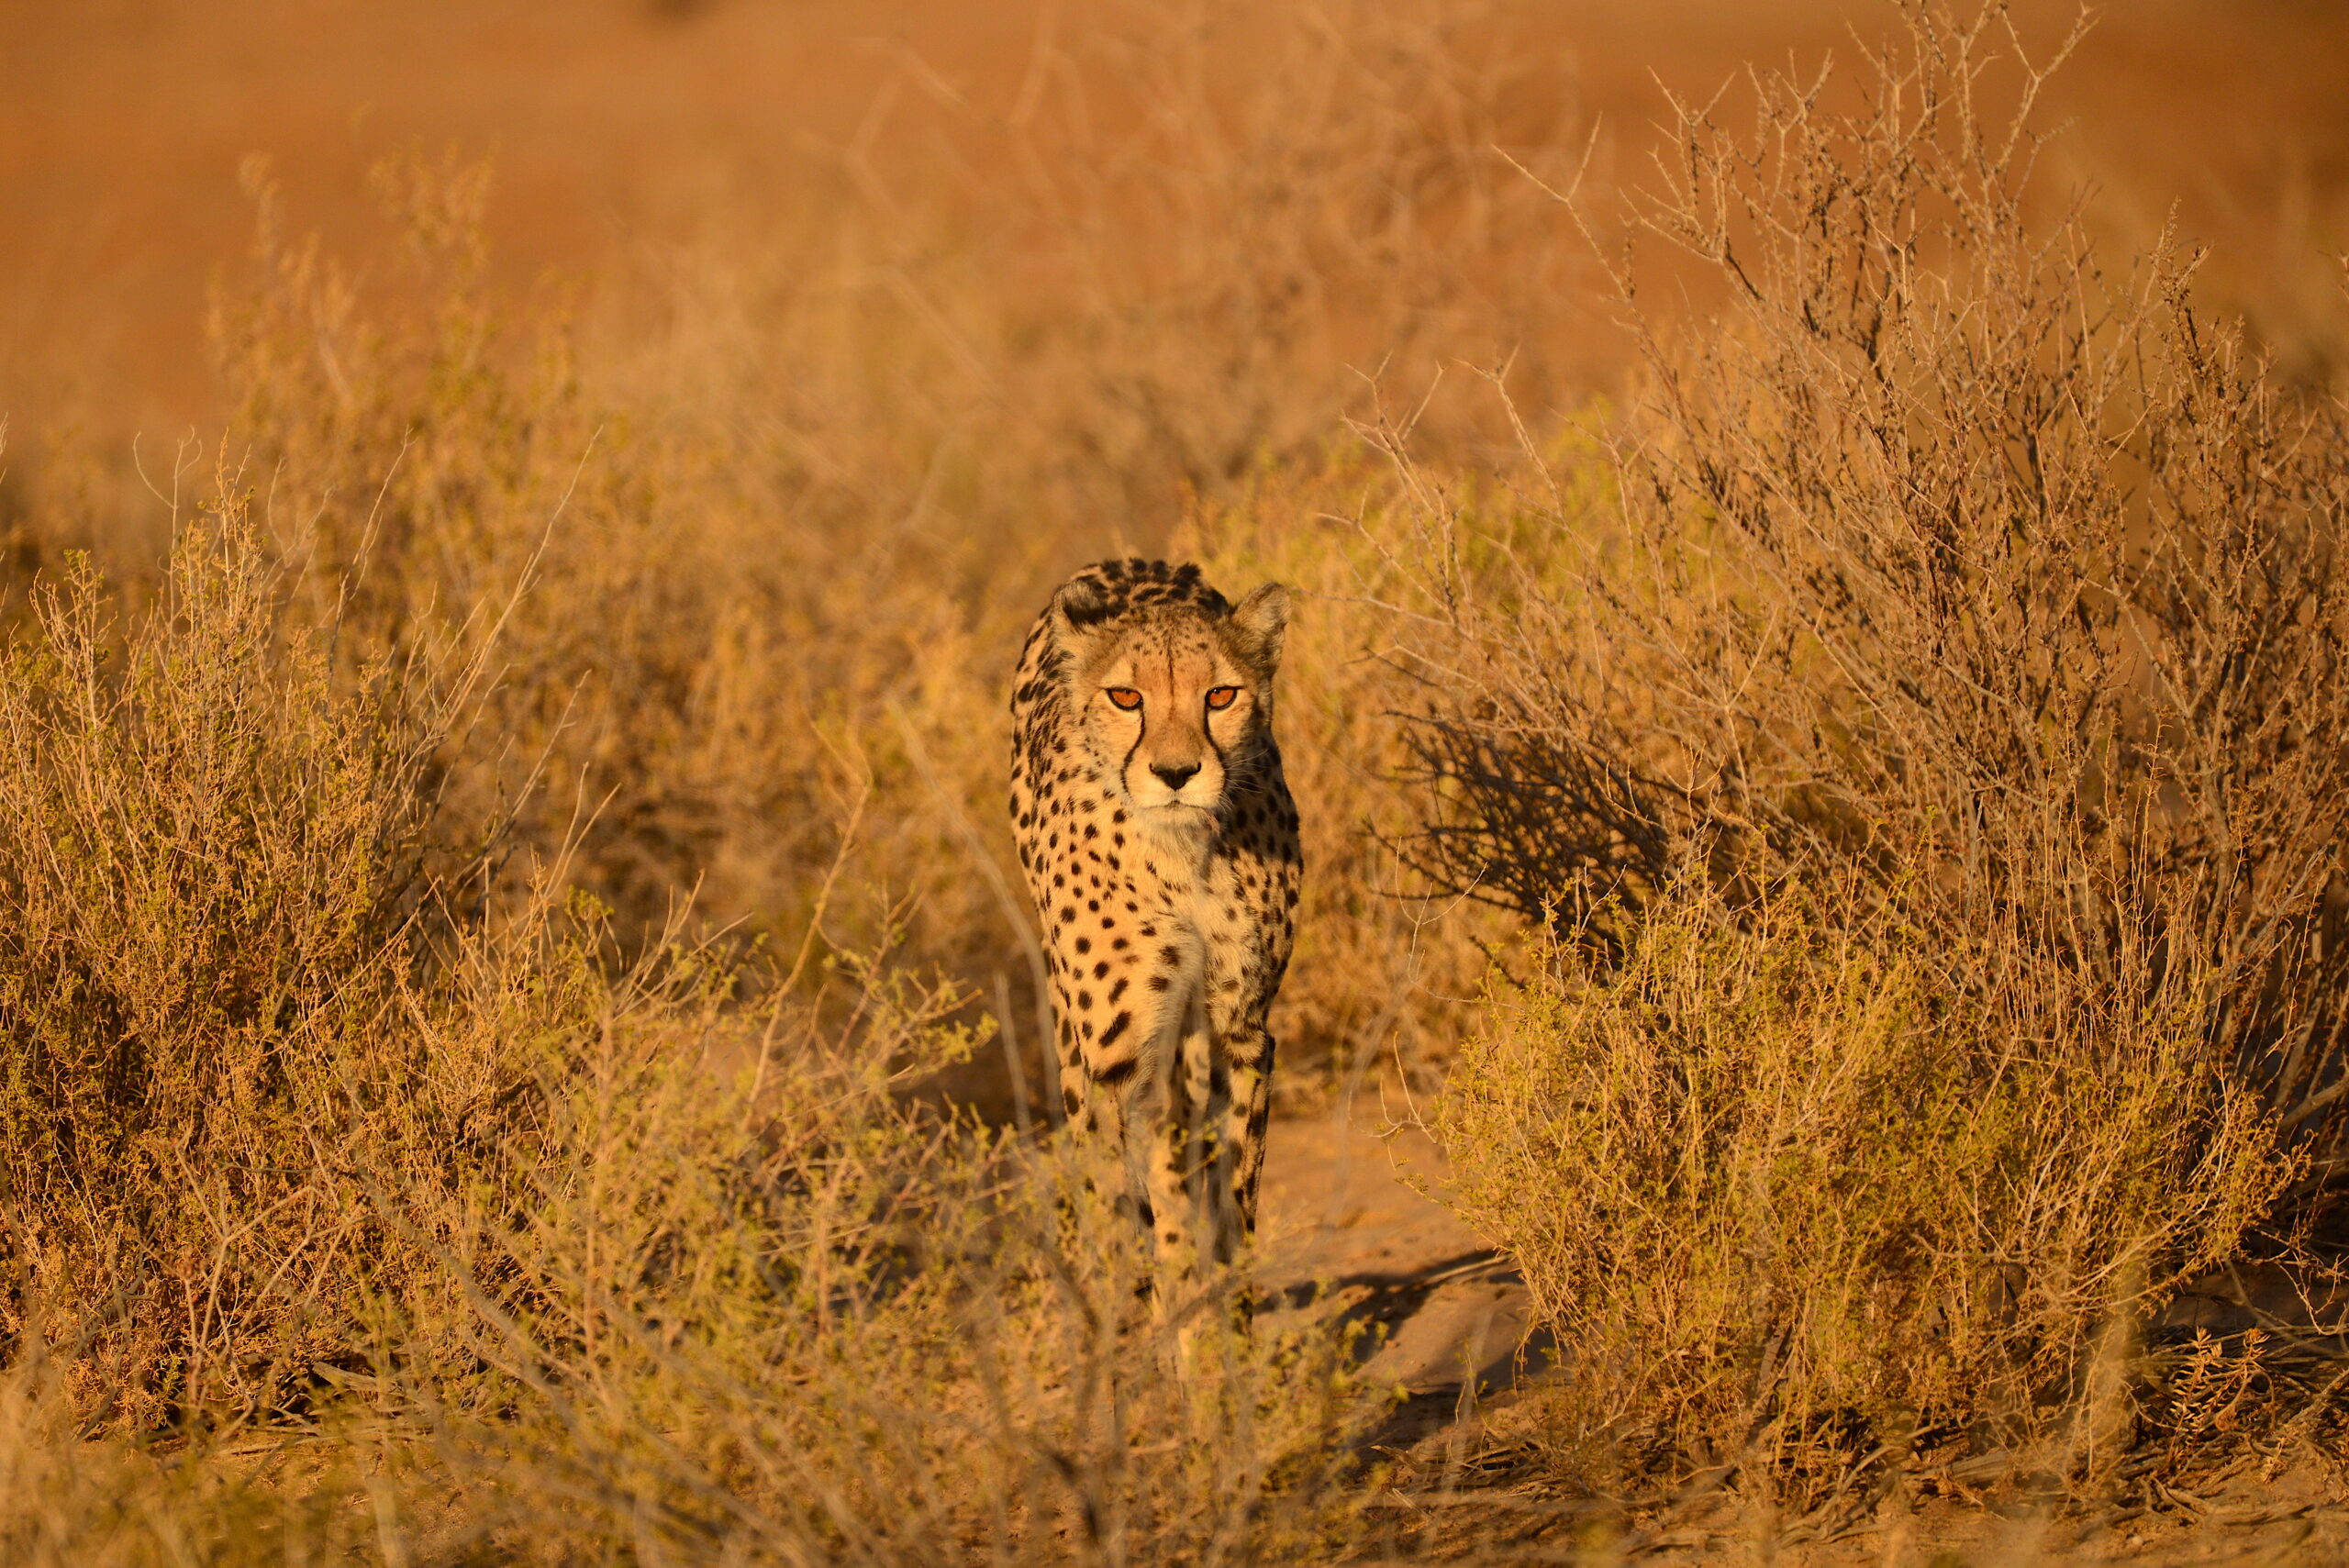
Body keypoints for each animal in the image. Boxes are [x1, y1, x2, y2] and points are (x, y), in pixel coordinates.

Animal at [1009, 556, 1306, 1305]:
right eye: (1125, 697)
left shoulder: (1242, 1027)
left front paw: (1224, 1316)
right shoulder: (1122, 1059)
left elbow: (1233, 1196)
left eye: (1221, 695)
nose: (1176, 773)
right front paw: (1166, 1311)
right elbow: (1146, 1208)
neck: (1183, 854)